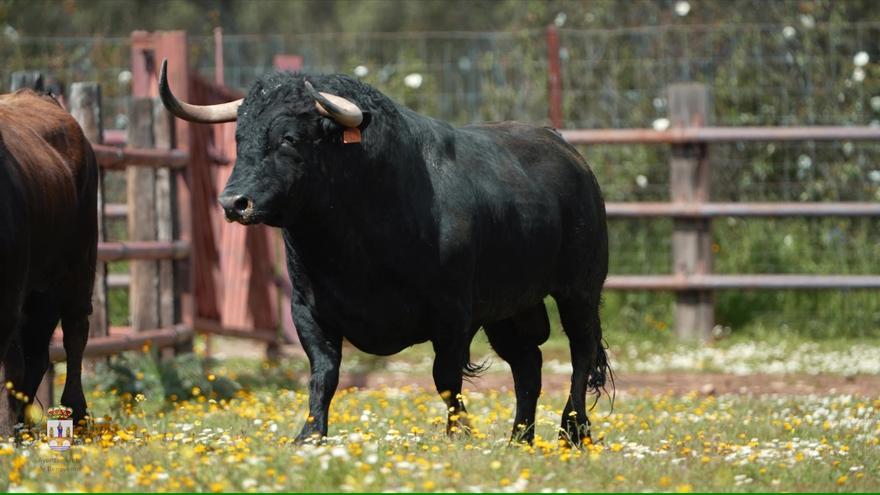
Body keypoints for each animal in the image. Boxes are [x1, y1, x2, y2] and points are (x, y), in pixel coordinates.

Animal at [158, 62, 608, 446]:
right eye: (240, 138)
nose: (234, 202)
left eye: (288, 137)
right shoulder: (307, 310)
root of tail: (568, 151)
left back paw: (572, 431)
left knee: (580, 354)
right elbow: (323, 373)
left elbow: (445, 376)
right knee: (528, 364)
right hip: (510, 307)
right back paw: (519, 439)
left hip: (580, 288)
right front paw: (310, 435)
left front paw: (458, 433)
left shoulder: (452, 313)